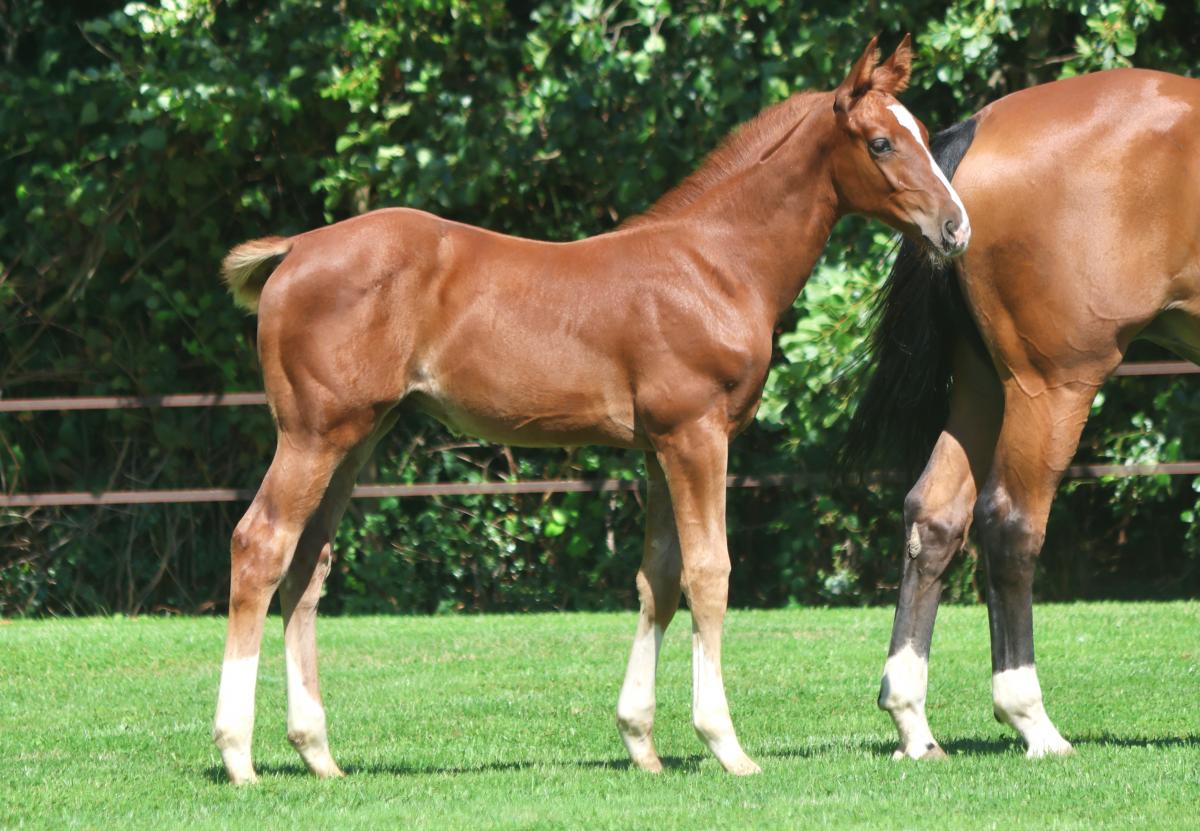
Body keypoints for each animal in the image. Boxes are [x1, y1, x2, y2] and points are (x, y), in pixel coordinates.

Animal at [212, 36, 969, 784]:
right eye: (880, 142)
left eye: (923, 133)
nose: (955, 228)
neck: (716, 266)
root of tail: (295, 250)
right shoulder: (696, 436)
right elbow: (710, 572)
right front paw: (725, 743)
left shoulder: (660, 447)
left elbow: (658, 577)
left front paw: (641, 741)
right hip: (313, 432)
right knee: (260, 544)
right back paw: (238, 753)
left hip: (359, 434)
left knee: (307, 565)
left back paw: (317, 752)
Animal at [847, 67, 1200, 760]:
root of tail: (980, 128)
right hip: (1052, 387)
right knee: (1009, 523)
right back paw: (1032, 720)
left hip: (984, 387)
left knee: (934, 515)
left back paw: (913, 722)